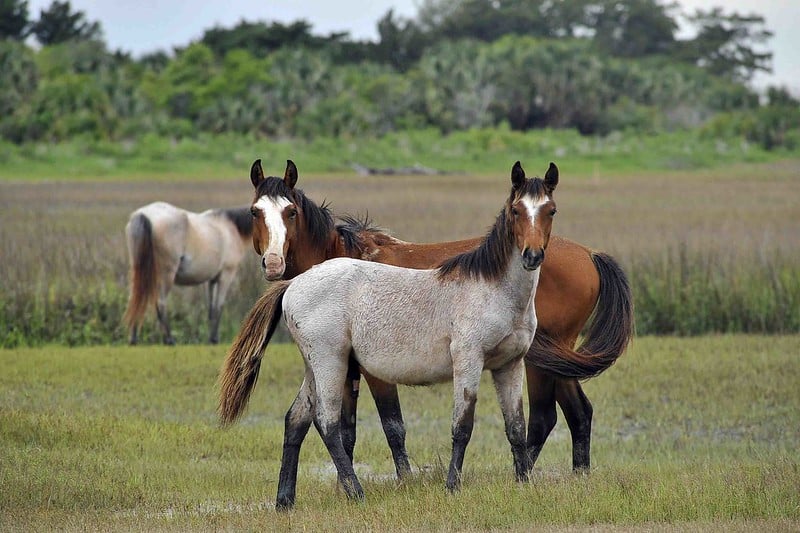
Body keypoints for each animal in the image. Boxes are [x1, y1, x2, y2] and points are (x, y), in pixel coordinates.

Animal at [123, 201, 253, 344]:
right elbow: (219, 306)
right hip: (166, 275)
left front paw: (210, 339)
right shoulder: (226, 275)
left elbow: (211, 308)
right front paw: (214, 338)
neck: (231, 226)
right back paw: (169, 340)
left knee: (135, 300)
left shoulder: (211, 280)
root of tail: (144, 214)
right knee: (160, 303)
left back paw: (133, 339)